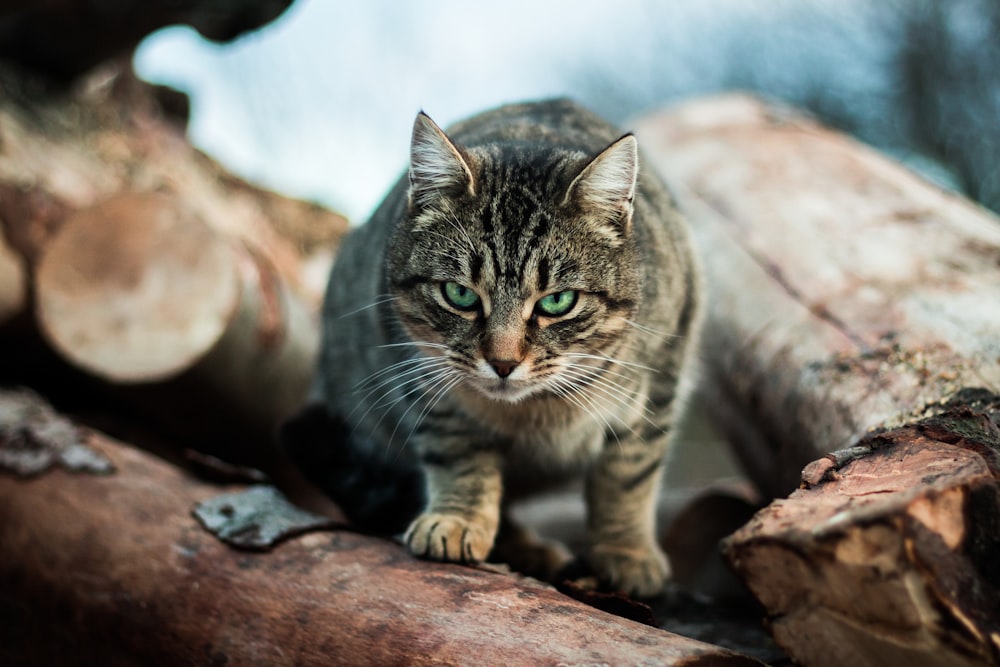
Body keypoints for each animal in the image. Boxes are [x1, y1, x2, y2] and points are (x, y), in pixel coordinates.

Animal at [300, 100, 700, 600]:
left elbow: (628, 474)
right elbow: (459, 453)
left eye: (557, 301)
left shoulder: (662, 373)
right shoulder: (420, 375)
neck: (535, 413)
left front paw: (625, 551)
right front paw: (458, 520)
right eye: (460, 294)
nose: (503, 363)